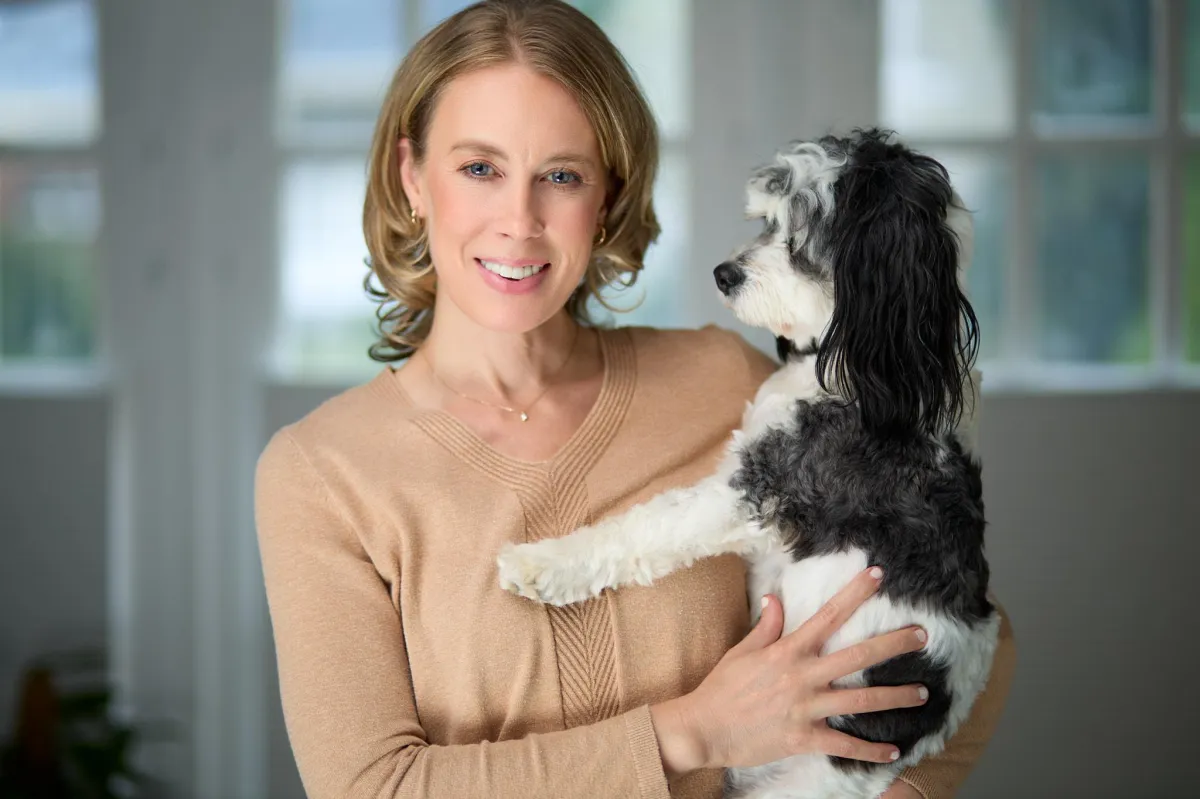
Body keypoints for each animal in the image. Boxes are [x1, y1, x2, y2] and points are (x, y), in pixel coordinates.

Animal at [496, 128, 1003, 796]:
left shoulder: (764, 486)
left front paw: (538, 563)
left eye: (803, 236)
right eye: (766, 220)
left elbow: (647, 526)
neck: (874, 361)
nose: (724, 273)